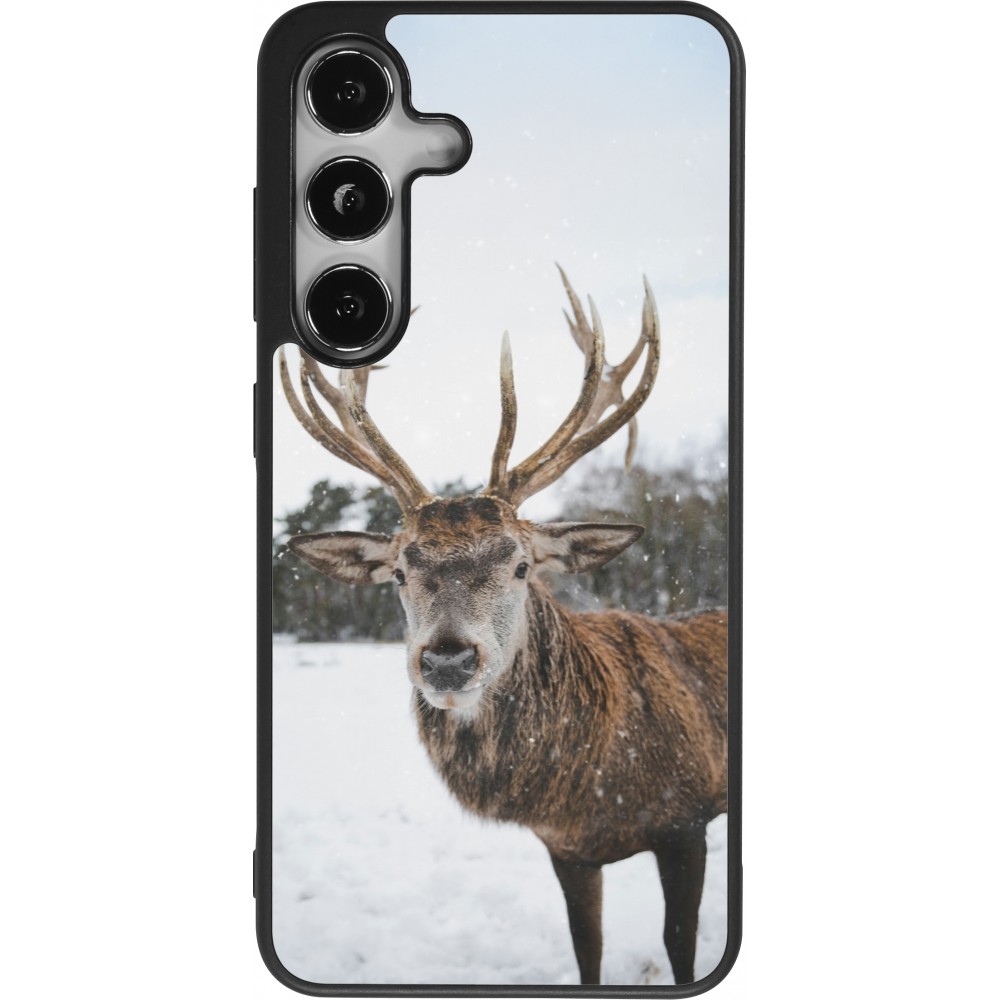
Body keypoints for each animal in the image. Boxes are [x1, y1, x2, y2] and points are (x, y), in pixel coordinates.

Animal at [278, 269, 728, 986]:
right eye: (399, 572)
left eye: (520, 565)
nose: (447, 661)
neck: (591, 787)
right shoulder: (567, 850)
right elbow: (587, 950)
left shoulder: (687, 820)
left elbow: (679, 947)